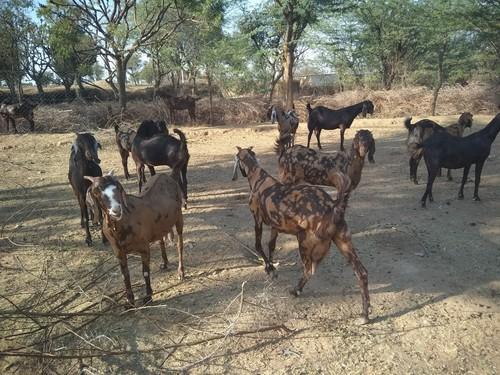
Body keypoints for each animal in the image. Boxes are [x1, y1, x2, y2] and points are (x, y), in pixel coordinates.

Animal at [85, 173, 185, 308]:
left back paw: (181, 272)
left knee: (180, 243)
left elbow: (145, 272)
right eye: (97, 191)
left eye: (117, 188)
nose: (116, 210)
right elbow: (125, 275)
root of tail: (165, 175)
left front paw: (148, 297)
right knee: (160, 240)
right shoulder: (119, 252)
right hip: (159, 224)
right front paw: (130, 302)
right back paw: (165, 263)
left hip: (179, 216)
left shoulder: (144, 248)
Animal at [232, 148, 370, 324]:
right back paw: (365, 314)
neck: (258, 177)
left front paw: (269, 268)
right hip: (344, 244)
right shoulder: (275, 226)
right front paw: (272, 268)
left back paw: (296, 290)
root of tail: (333, 206)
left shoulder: (257, 220)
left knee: (309, 271)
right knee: (362, 273)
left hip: (303, 242)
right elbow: (271, 246)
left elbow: (258, 246)